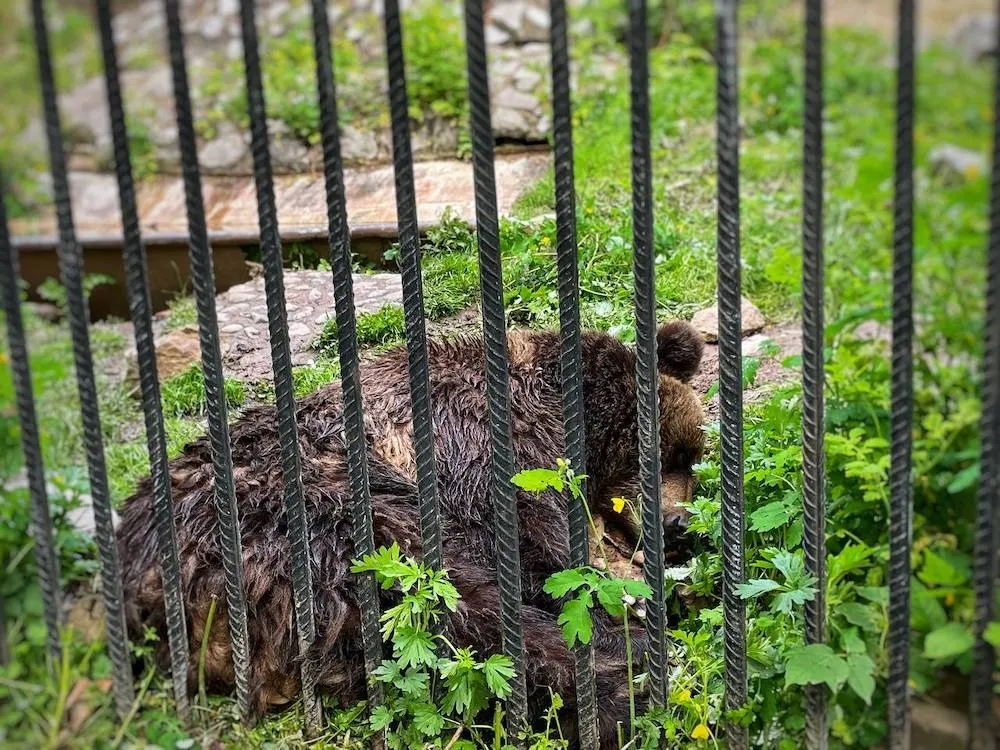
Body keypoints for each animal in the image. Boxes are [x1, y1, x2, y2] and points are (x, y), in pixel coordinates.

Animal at [115, 320, 704, 748]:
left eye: (690, 457)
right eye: (667, 455)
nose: (680, 526)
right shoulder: (474, 459)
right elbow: (533, 557)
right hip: (310, 520)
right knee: (458, 610)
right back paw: (620, 685)